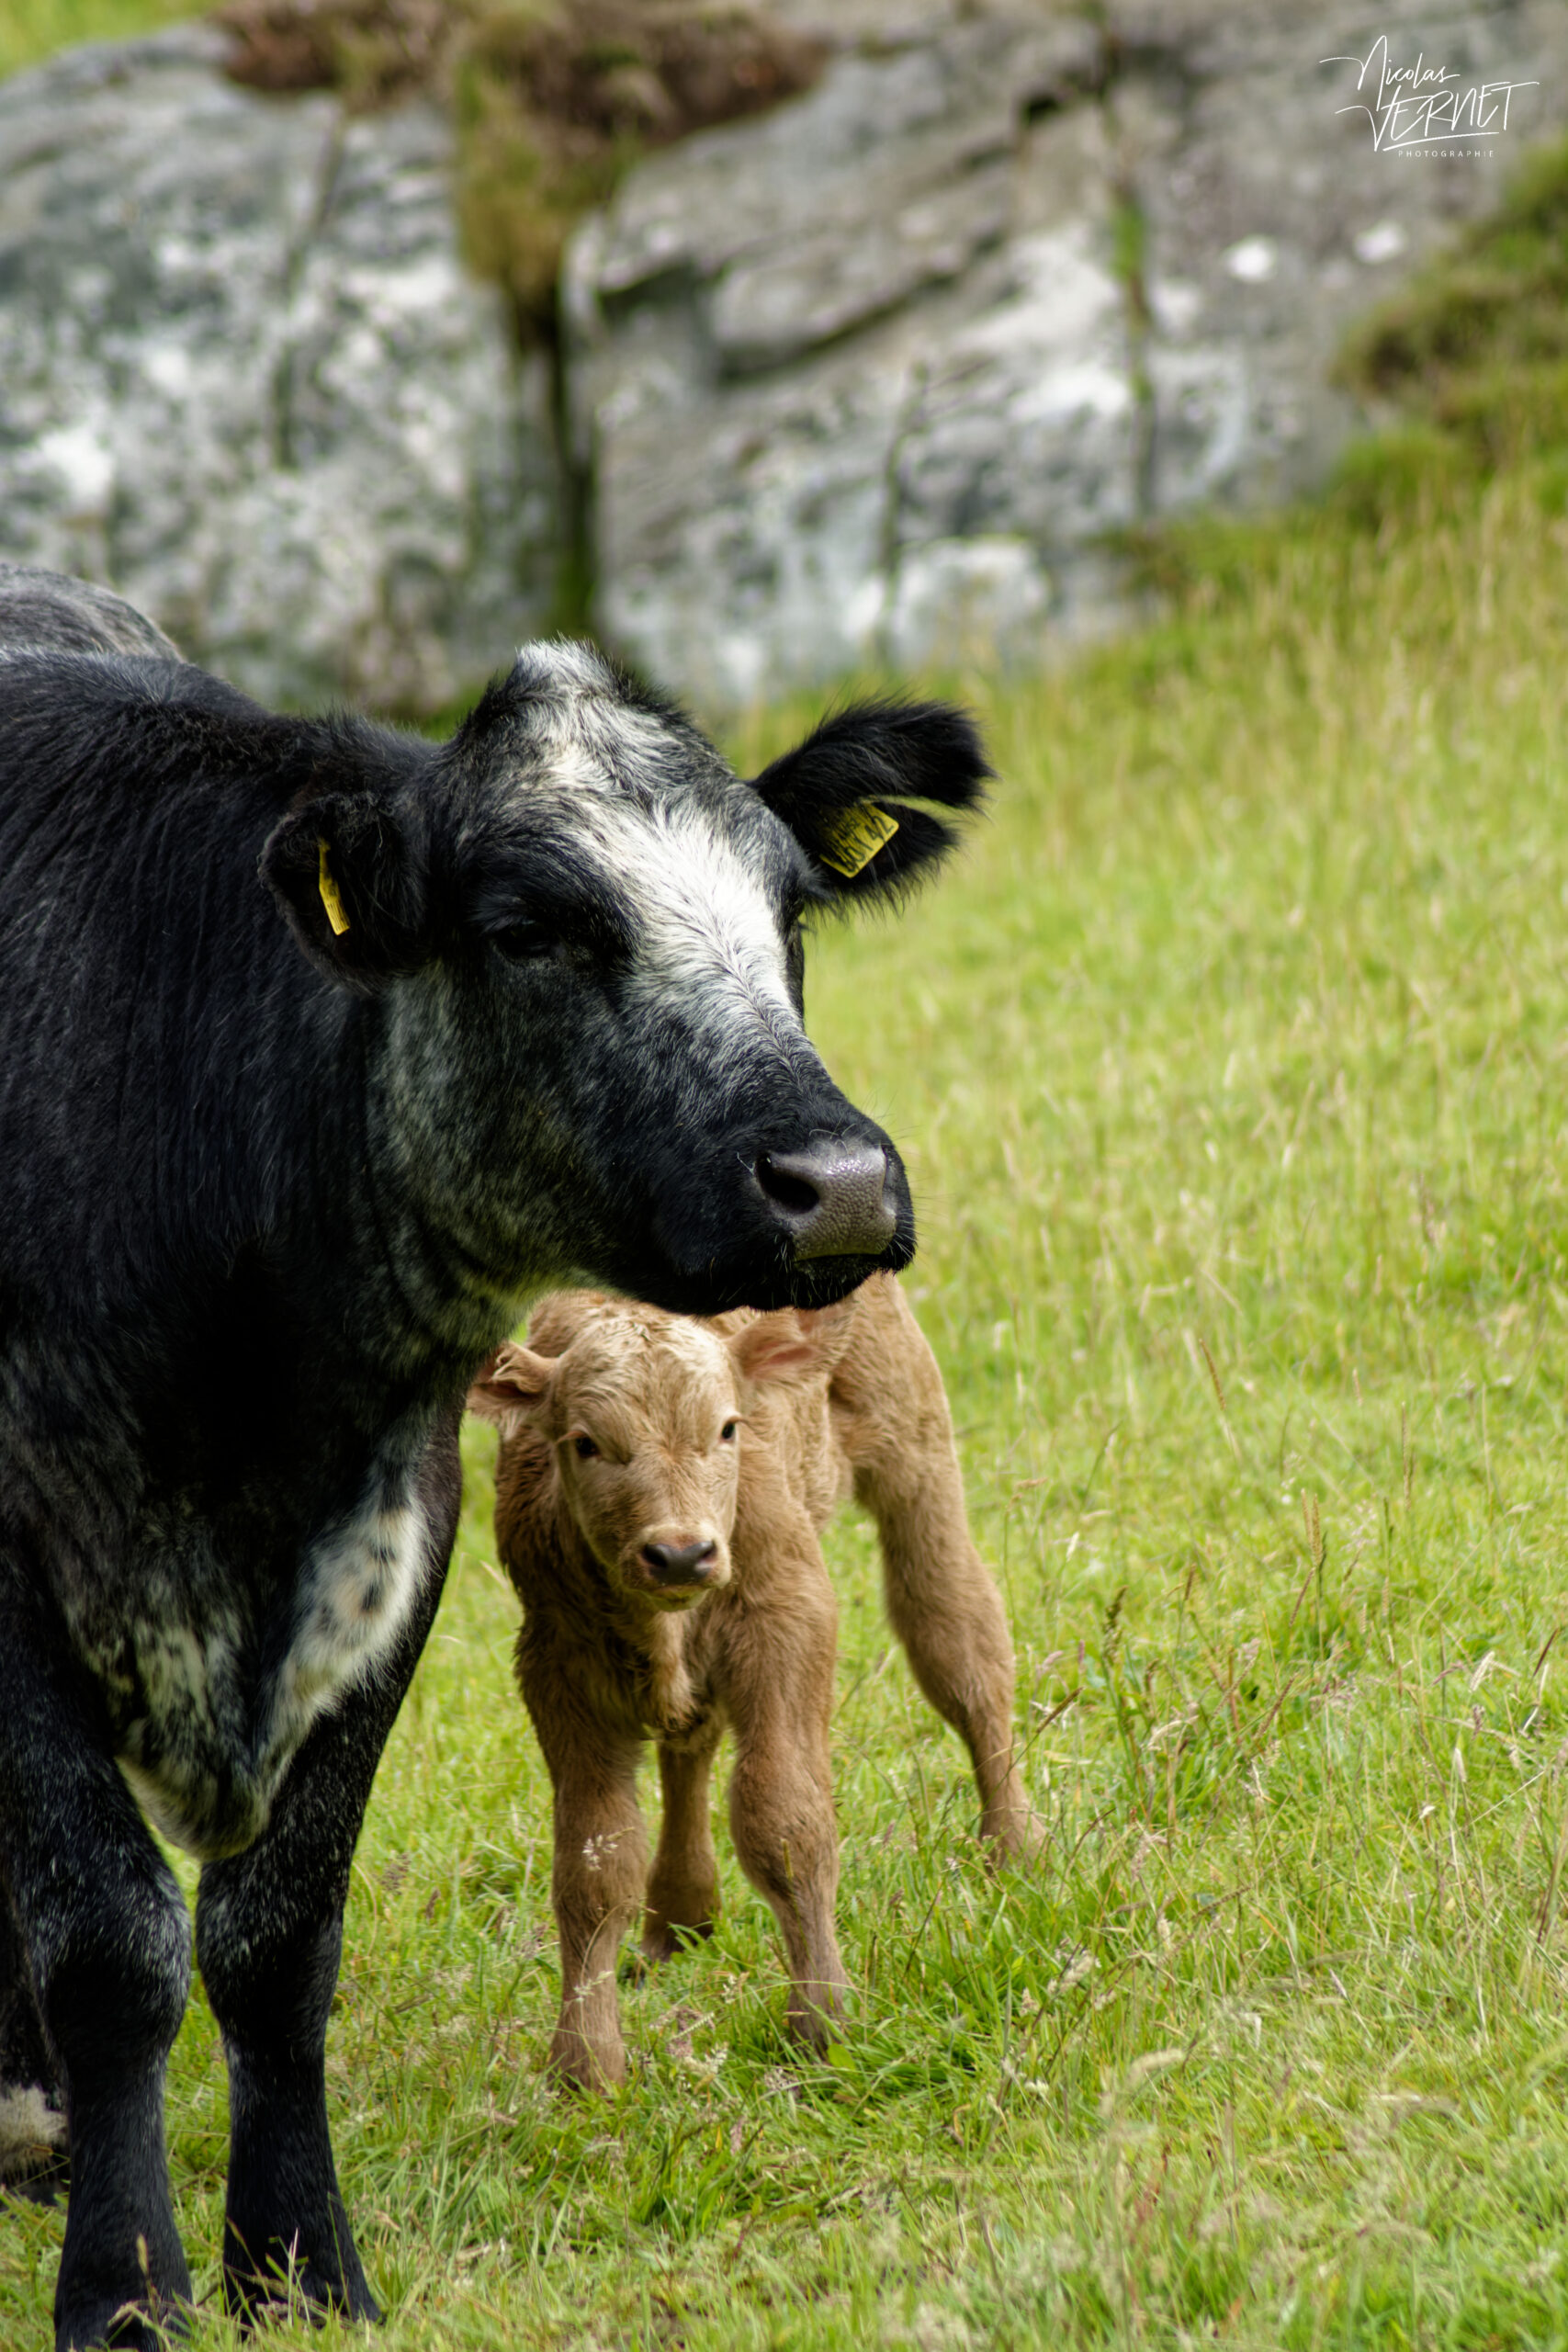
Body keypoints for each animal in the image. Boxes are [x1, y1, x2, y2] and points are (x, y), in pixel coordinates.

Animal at [468, 1275, 1039, 2094]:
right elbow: (593, 1867)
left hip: (916, 1453)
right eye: (584, 1443)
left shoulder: (788, 1623)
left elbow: (784, 1822)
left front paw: (823, 2026)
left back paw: (1011, 1848)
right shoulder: (558, 1671)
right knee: (690, 1744)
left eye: (728, 1429)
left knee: (958, 1640)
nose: (681, 1554)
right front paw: (585, 2066)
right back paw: (680, 1917)